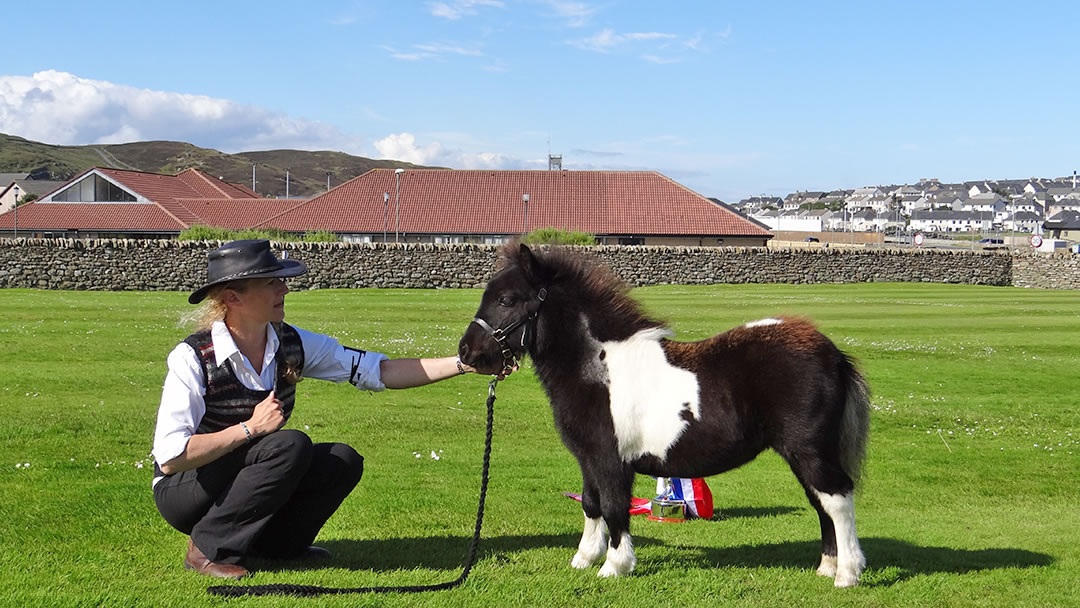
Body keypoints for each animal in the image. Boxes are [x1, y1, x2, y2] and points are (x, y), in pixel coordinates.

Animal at [460, 245, 872, 587]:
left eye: (507, 299)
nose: (467, 352)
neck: (599, 368)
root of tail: (833, 354)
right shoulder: (588, 458)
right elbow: (591, 503)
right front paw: (584, 558)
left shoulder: (611, 461)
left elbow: (613, 507)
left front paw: (614, 566)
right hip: (802, 455)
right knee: (821, 502)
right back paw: (827, 567)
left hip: (810, 451)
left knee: (837, 499)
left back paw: (848, 574)